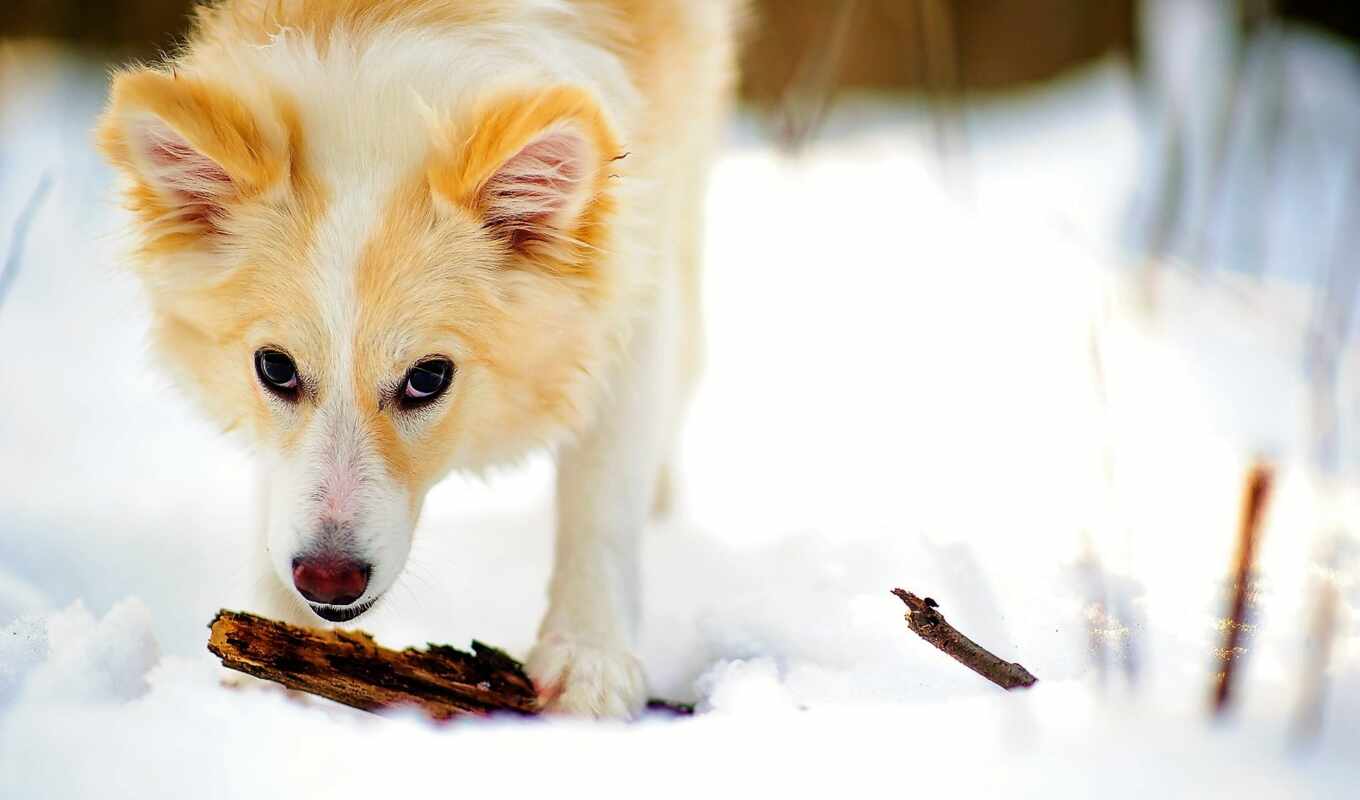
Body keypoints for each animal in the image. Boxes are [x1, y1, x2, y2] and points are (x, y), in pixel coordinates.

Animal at [93, 0, 745, 712]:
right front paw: (263, 660)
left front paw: (588, 663)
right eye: (275, 368)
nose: (326, 582)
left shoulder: (635, 272)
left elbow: (603, 494)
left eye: (428, 378)